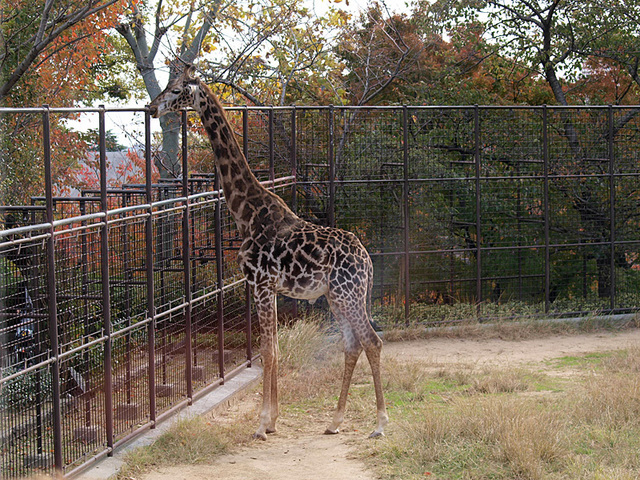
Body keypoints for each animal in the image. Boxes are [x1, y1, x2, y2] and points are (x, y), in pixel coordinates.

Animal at [150, 65, 388, 440]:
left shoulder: (260, 285)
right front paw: (274, 419)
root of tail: (366, 259)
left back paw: (379, 423)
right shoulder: (271, 289)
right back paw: (335, 421)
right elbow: (274, 348)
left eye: (176, 89)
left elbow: (265, 349)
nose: (150, 108)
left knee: (372, 342)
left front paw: (262, 424)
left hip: (348, 294)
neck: (245, 212)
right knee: (352, 345)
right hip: (337, 296)